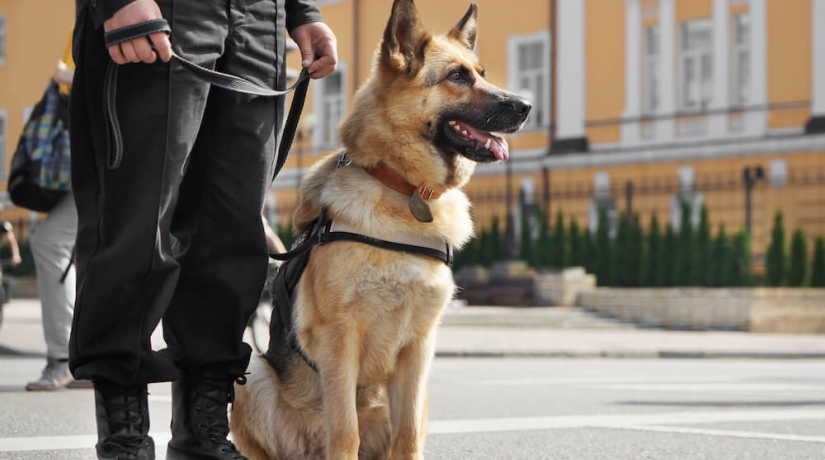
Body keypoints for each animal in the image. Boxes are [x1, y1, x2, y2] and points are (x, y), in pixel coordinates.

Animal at [229, 1, 532, 458]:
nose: (526, 105)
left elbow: (406, 436)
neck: (404, 189)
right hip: (249, 372)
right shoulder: (339, 340)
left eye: (480, 72)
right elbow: (344, 432)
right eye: (457, 76)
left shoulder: (419, 350)